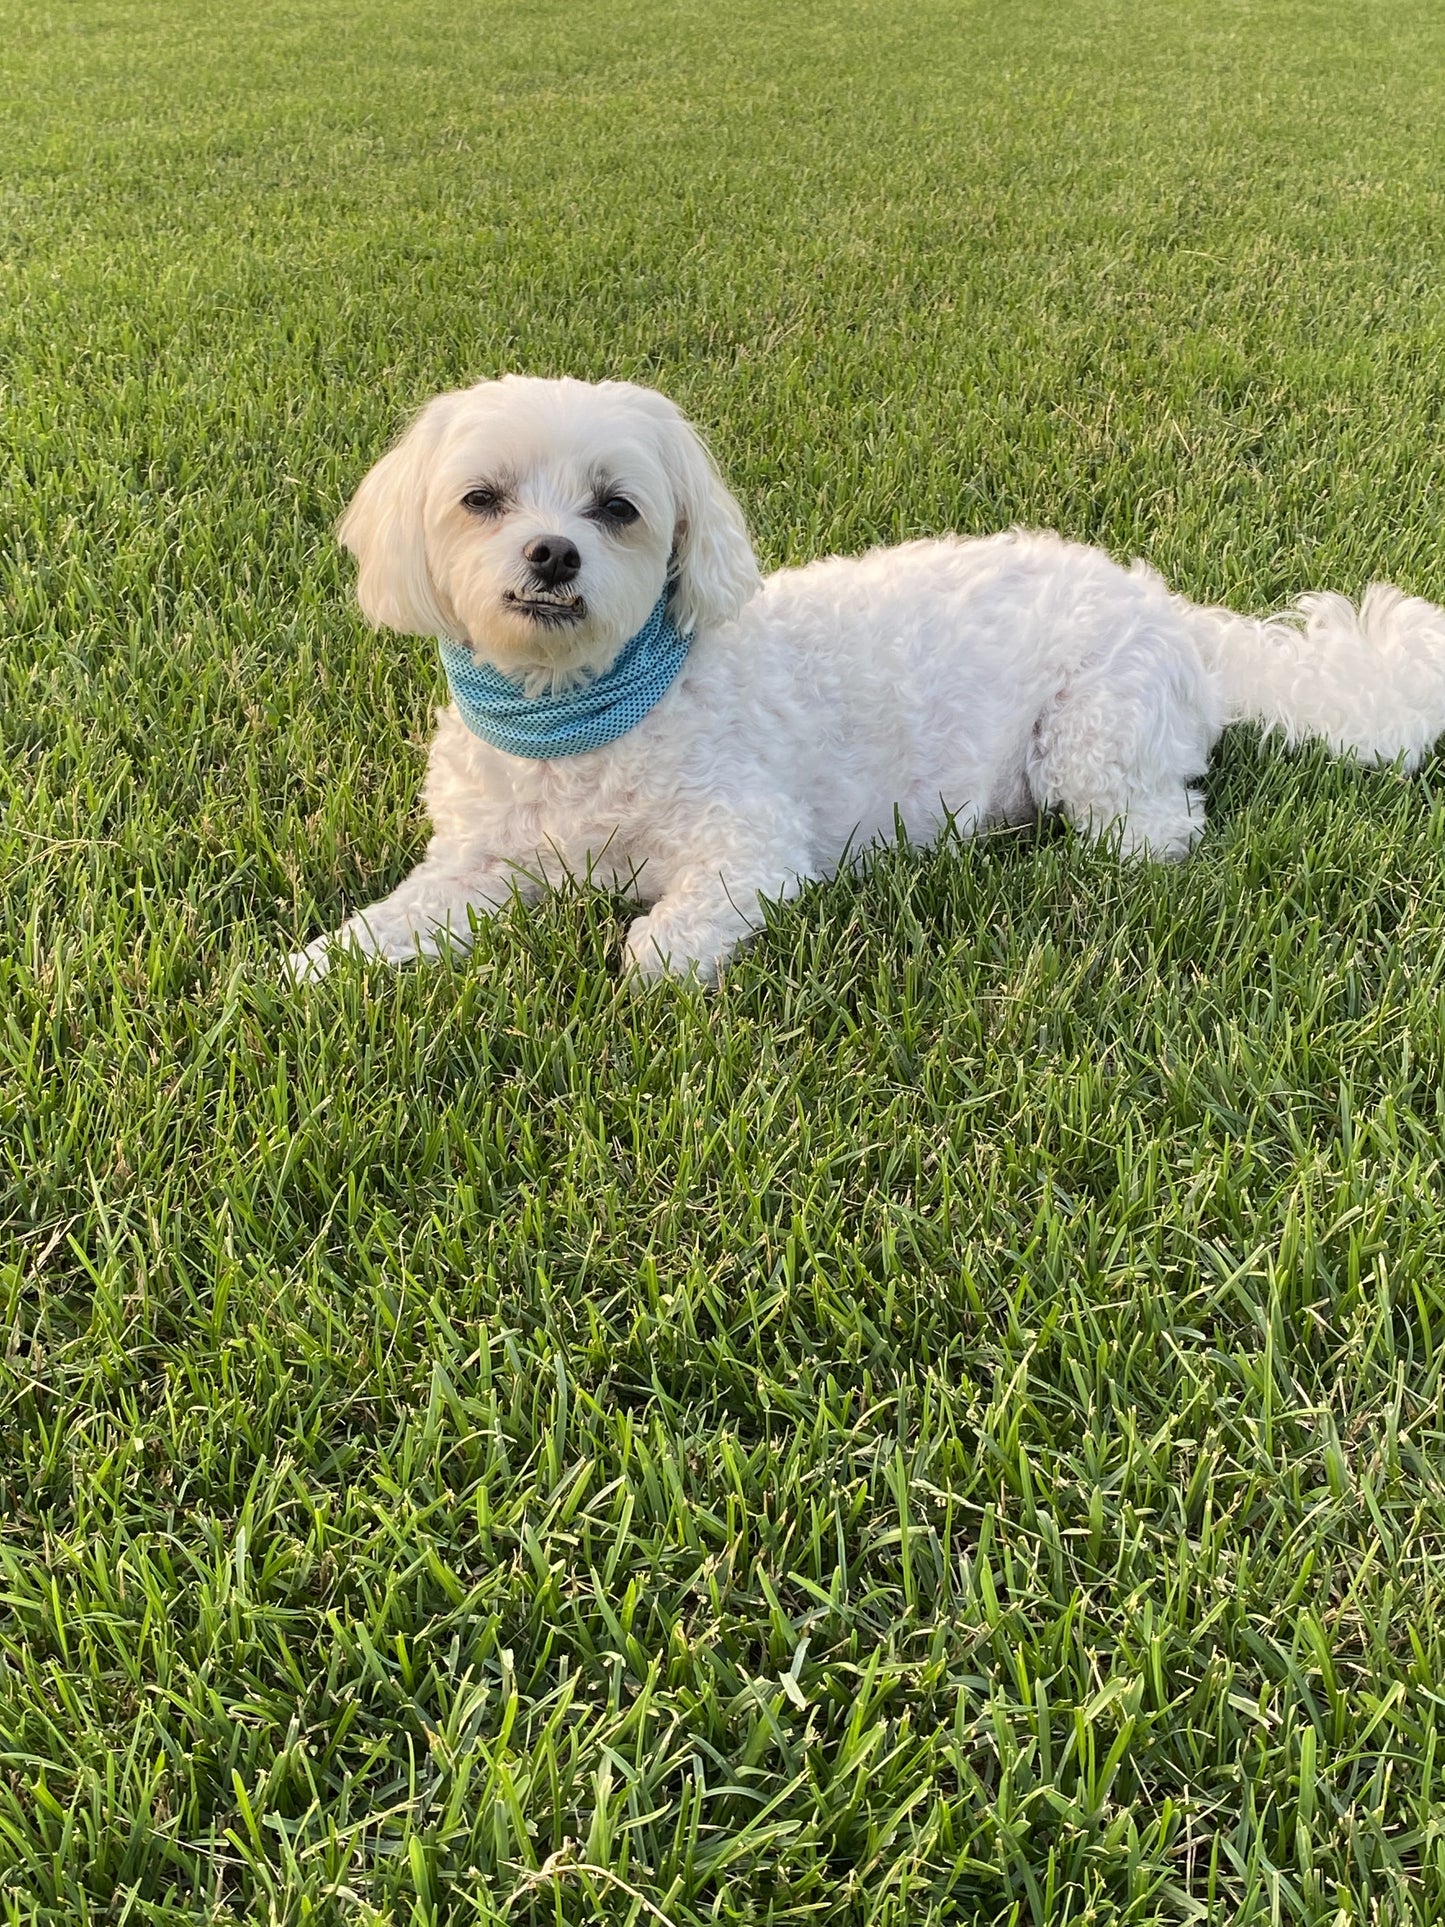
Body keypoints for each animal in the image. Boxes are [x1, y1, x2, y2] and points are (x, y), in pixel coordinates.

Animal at [289, 373, 1445, 986]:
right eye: (480, 498)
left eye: (616, 508)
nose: (552, 556)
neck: (572, 711)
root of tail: (1168, 608)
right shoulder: (480, 862)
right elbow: (402, 916)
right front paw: (317, 965)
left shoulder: (750, 843)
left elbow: (668, 936)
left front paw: (655, 952)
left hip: (1092, 745)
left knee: (1159, 830)